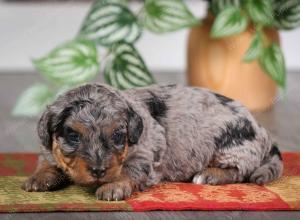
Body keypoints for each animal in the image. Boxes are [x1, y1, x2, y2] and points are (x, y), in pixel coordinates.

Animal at [21, 83, 284, 200]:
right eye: (74, 136)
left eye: (117, 135)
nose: (98, 171)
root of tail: (262, 130)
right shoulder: (49, 148)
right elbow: (46, 161)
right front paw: (38, 178)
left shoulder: (145, 152)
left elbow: (128, 170)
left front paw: (113, 186)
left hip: (233, 145)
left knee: (240, 171)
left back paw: (209, 174)